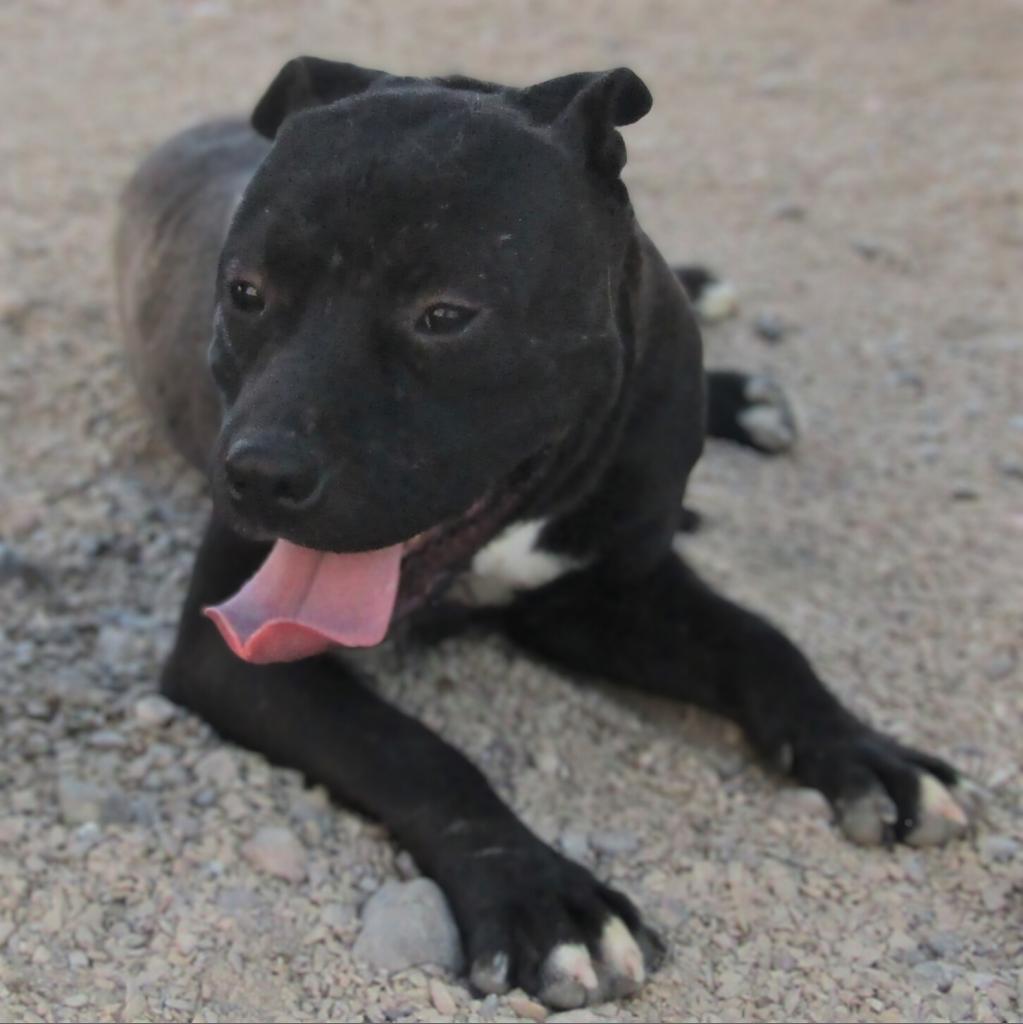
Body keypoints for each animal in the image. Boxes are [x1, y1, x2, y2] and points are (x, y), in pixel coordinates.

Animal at [114, 59, 974, 1011]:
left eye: (445, 315)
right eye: (245, 292)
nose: (261, 472)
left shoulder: (601, 594)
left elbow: (758, 642)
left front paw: (868, 752)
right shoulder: (230, 651)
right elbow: (415, 752)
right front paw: (543, 898)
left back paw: (738, 398)